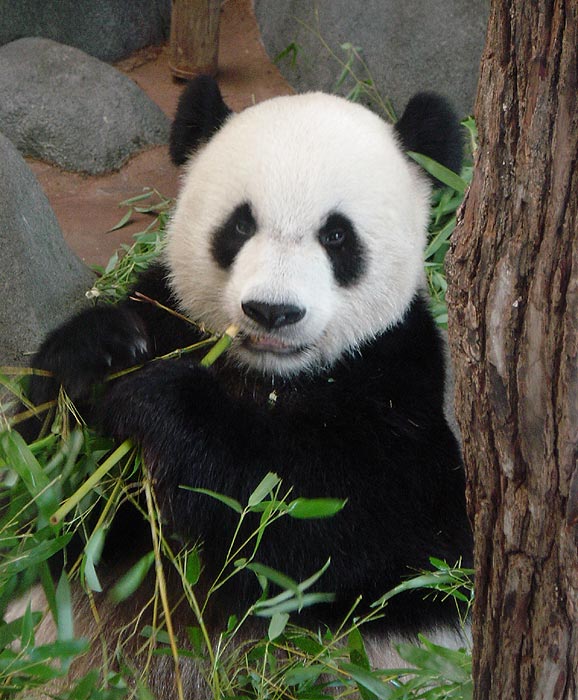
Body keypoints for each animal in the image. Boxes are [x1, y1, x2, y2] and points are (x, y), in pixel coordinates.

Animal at [21, 77, 472, 697]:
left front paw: (165, 405)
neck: (268, 376)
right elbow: (46, 513)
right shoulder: (169, 314)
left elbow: (336, 526)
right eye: (240, 225)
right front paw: (97, 353)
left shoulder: (402, 382)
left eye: (337, 235)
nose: (272, 311)